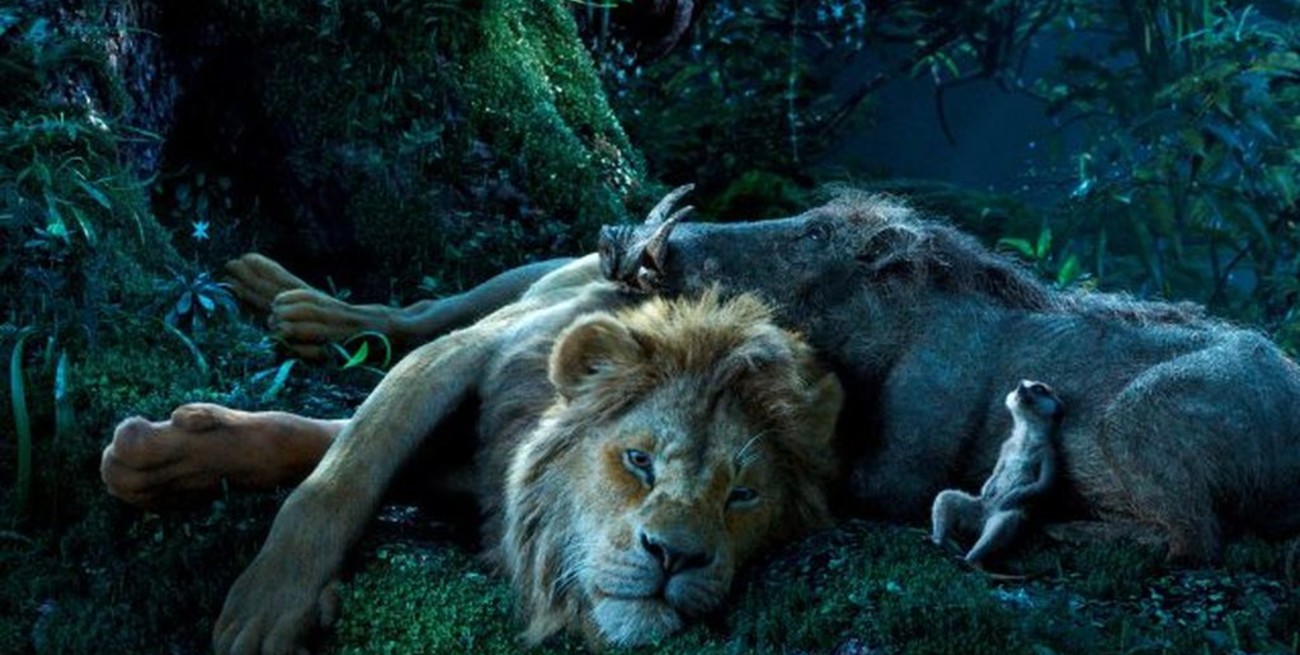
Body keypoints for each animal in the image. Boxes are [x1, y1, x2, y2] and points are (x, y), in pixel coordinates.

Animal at [103, 248, 842, 652]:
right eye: (639, 460)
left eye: (742, 496)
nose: (677, 556)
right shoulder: (464, 354)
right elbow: (343, 473)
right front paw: (269, 606)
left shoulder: (483, 474)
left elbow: (321, 441)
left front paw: (166, 458)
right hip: (535, 275)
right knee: (418, 312)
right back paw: (300, 304)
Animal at [602, 187, 1300, 563]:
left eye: (815, 233)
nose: (618, 236)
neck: (901, 315)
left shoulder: (906, 461)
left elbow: (861, 484)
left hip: (1138, 422)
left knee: (1196, 539)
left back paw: (1066, 531)